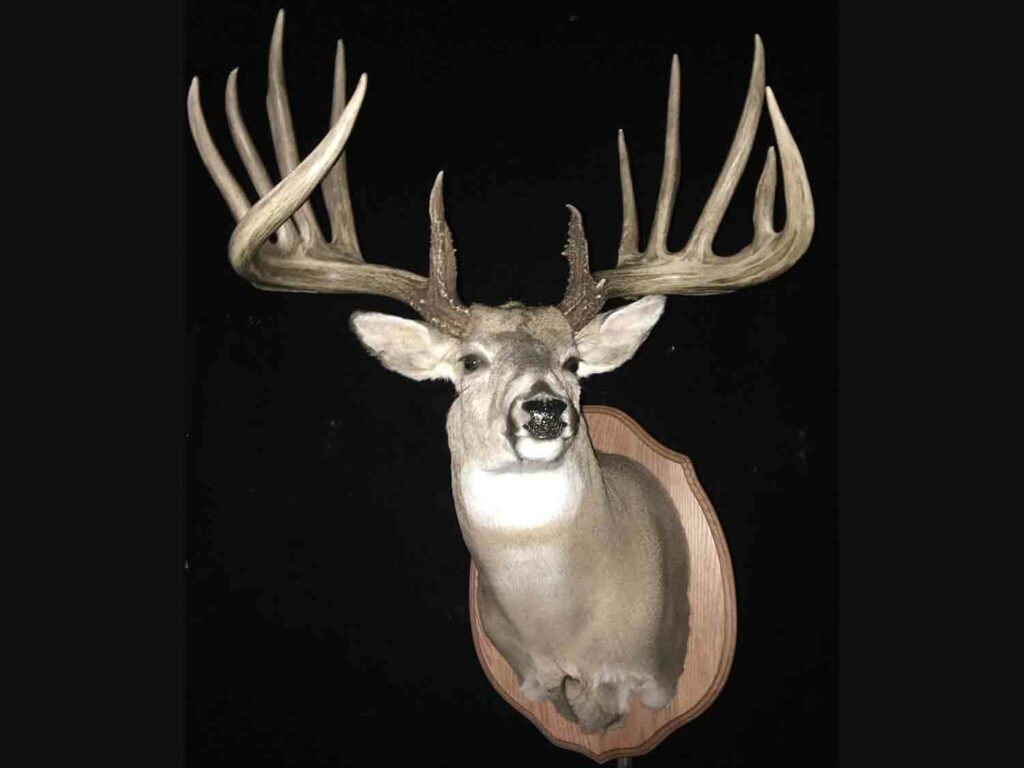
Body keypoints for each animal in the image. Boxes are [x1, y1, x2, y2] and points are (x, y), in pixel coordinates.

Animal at [186, 10, 813, 733]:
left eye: (573, 361)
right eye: (469, 360)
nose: (544, 408)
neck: (563, 632)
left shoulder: (653, 676)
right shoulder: (536, 679)